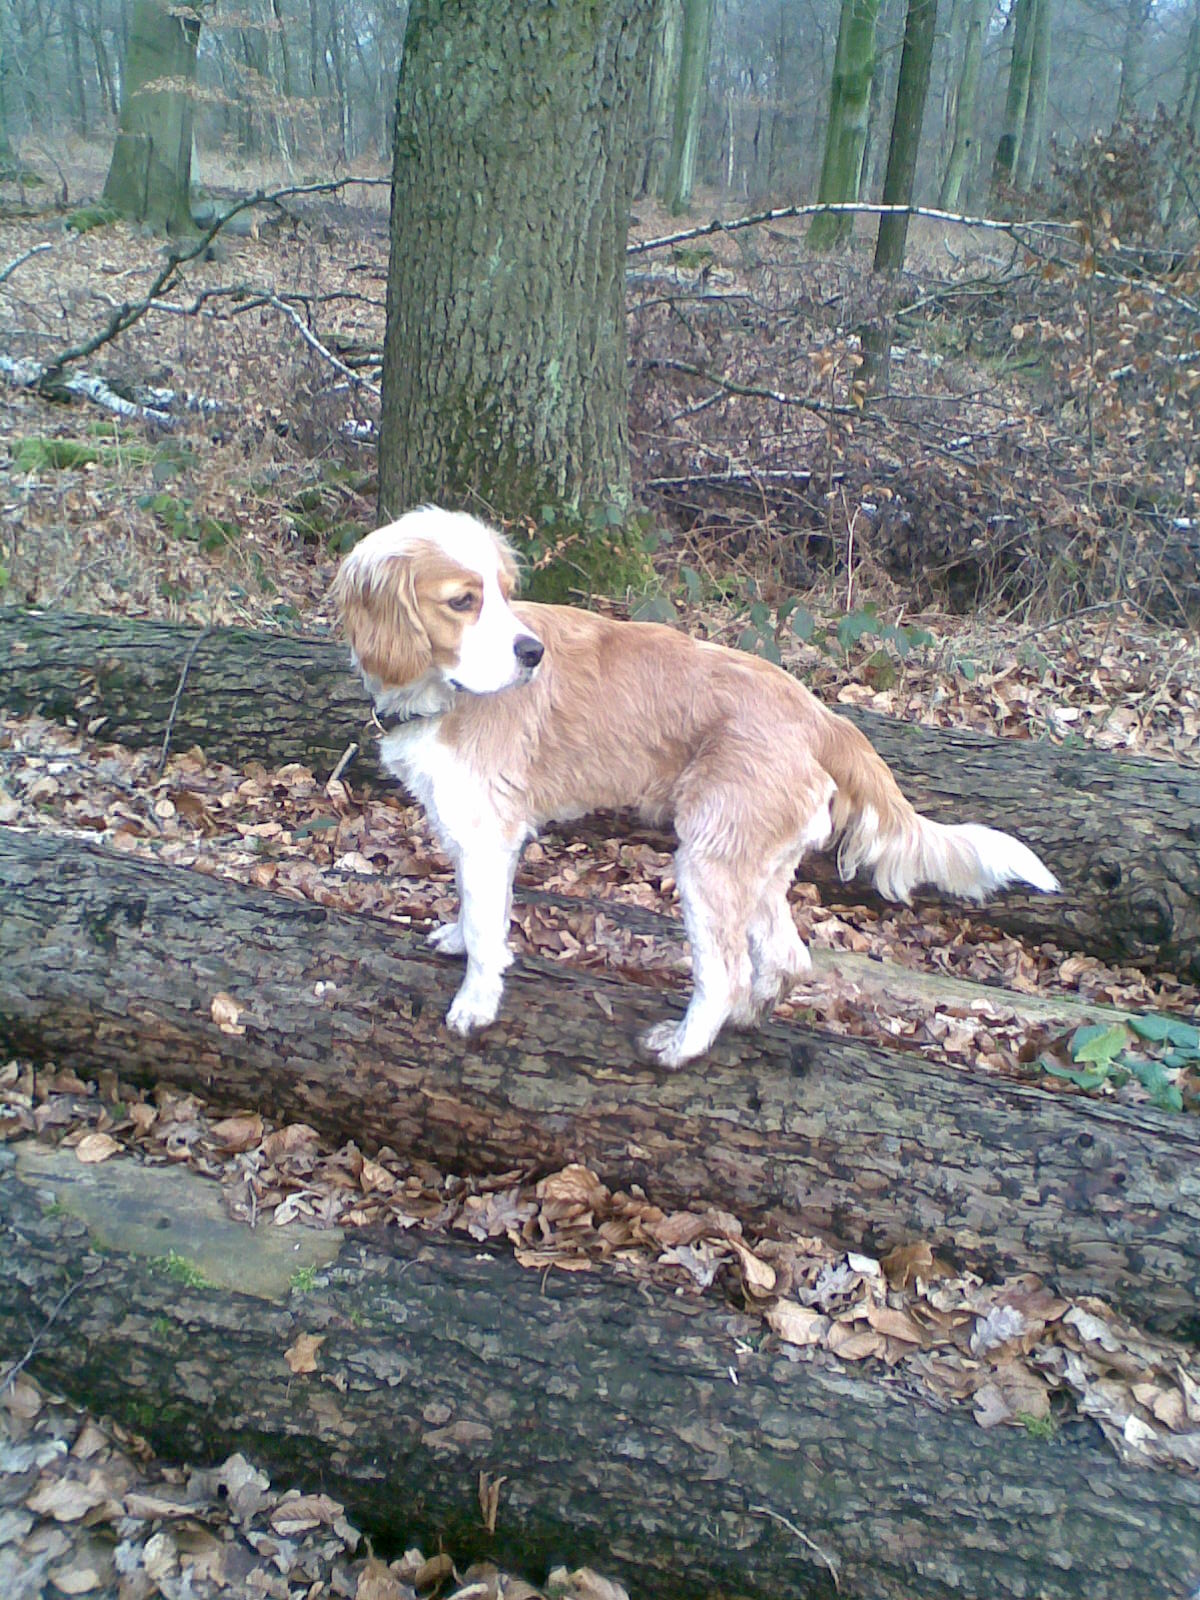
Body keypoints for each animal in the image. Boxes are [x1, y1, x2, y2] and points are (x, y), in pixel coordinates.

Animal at [331, 505, 1062, 1068]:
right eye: (463, 600)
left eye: (505, 595)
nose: (533, 654)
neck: (437, 692)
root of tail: (822, 715)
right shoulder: (470, 831)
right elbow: (472, 907)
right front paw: (456, 937)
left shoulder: (488, 832)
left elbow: (489, 935)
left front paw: (474, 1005)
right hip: (753, 865)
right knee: (787, 959)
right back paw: (749, 1015)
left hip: (707, 861)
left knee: (727, 973)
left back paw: (683, 1045)